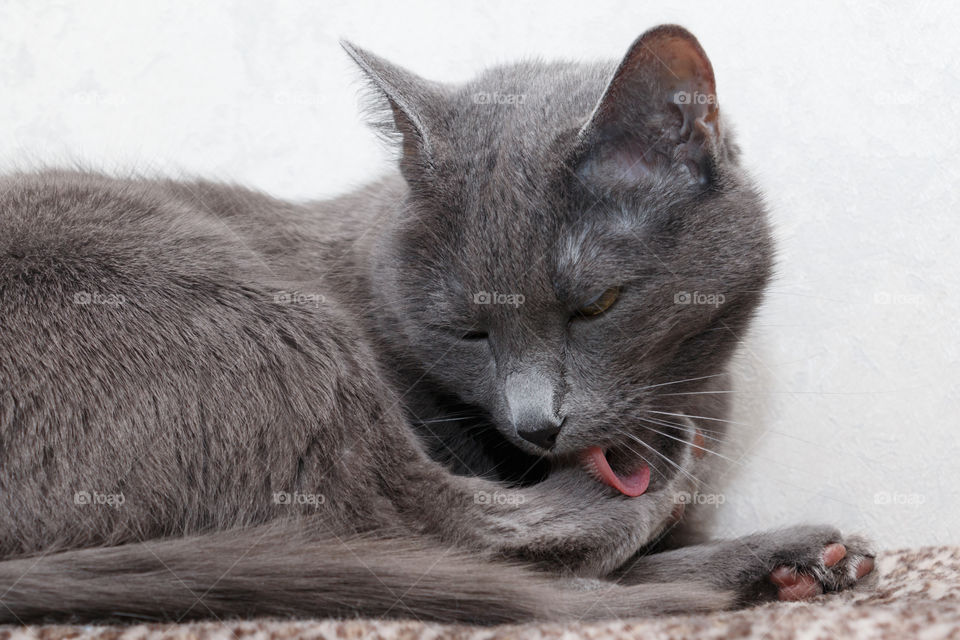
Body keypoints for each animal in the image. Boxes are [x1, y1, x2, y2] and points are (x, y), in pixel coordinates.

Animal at [0, 26, 872, 624]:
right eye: (467, 331)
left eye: (596, 306)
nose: (537, 422)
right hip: (259, 317)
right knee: (435, 534)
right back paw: (749, 531)